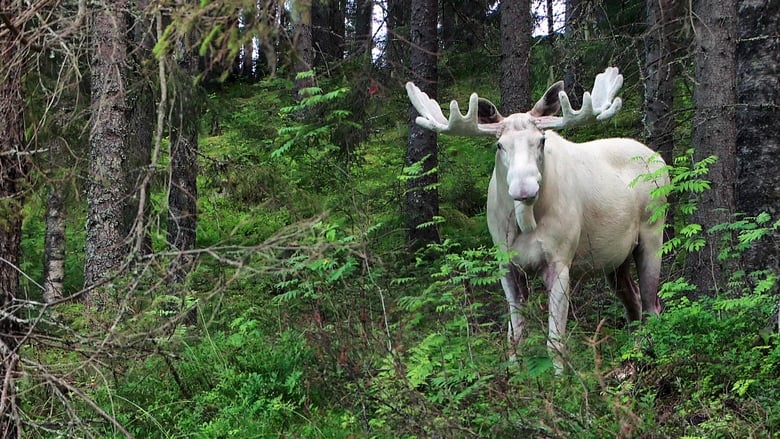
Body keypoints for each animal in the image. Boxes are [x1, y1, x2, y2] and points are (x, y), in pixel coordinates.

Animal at [406, 68, 668, 372]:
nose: (524, 188)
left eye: (542, 141)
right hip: (616, 259)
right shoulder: (507, 266)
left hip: (653, 232)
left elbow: (555, 342)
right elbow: (514, 337)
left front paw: (560, 380)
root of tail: (661, 160)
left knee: (652, 305)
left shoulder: (560, 261)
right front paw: (515, 375)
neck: (523, 222)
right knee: (633, 302)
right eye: (499, 145)